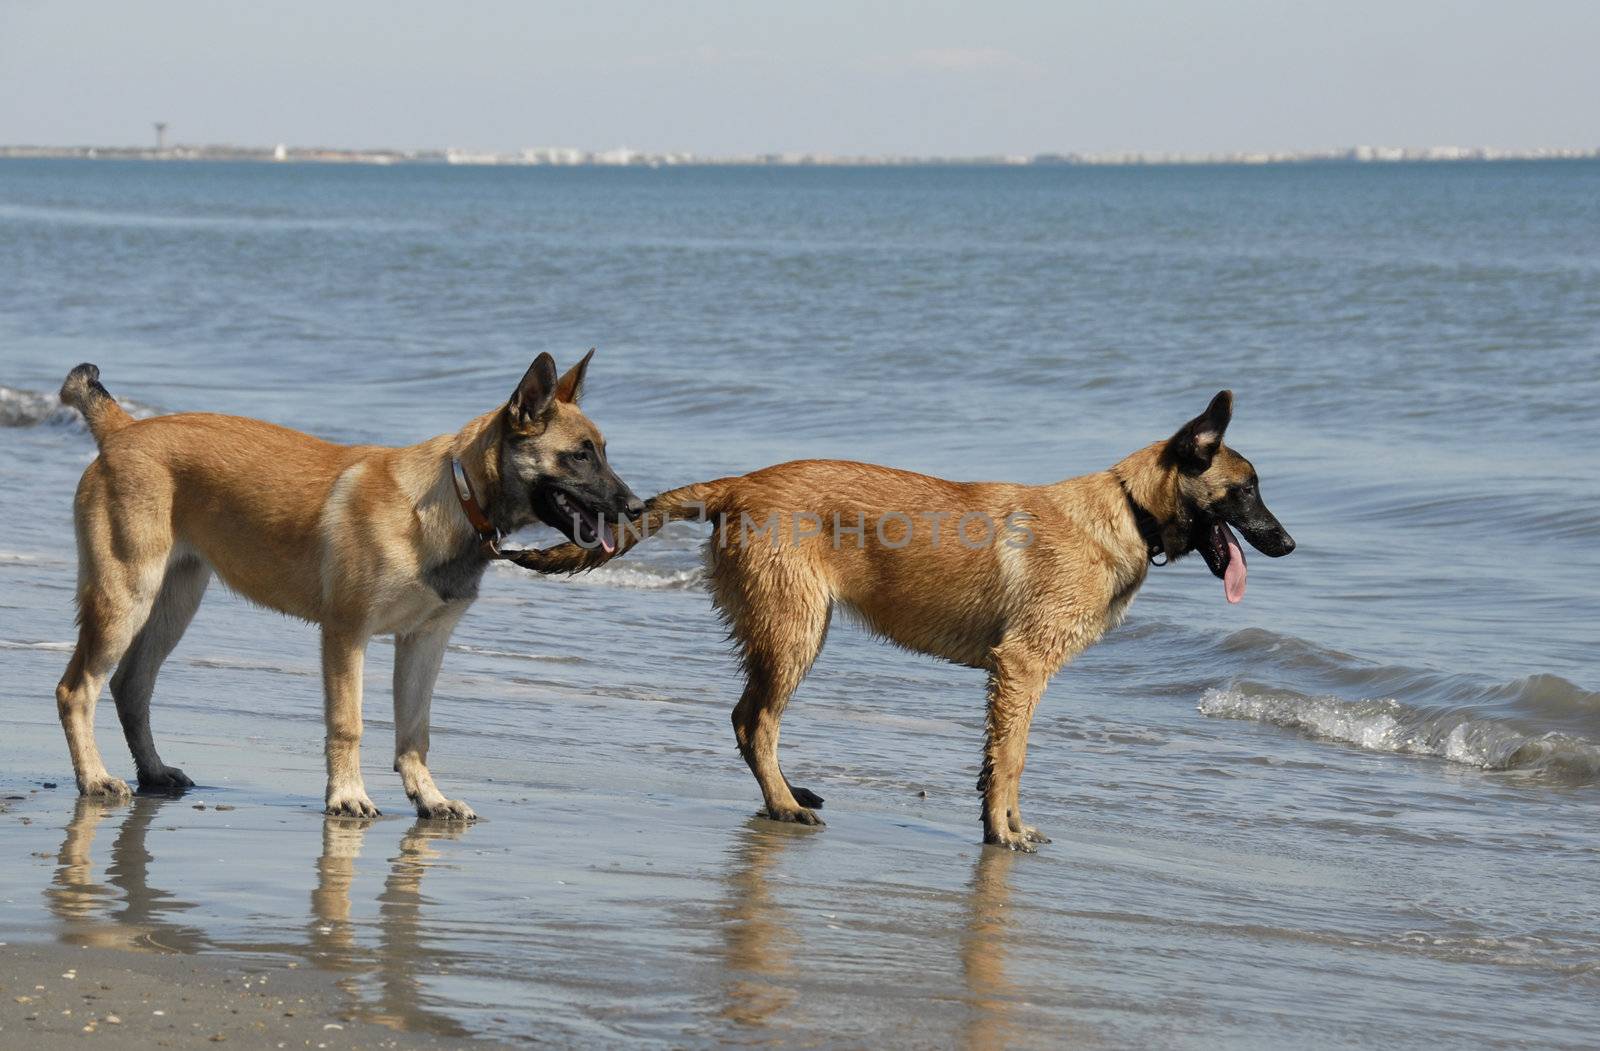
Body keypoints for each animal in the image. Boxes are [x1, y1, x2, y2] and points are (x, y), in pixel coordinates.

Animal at [56, 358, 643, 819]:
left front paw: (430, 798)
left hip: (172, 605)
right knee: (77, 689)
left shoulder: (423, 644)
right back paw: (94, 778)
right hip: (125, 599)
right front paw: (347, 795)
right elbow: (348, 723)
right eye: (580, 455)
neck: (455, 496)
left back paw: (152, 772)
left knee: (131, 686)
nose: (637, 508)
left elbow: (415, 733)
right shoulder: (346, 635)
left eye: (603, 451)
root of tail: (123, 430)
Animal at [518, 388, 1292, 851]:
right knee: (755, 721)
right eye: (1245, 491)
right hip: (795, 632)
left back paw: (787, 794)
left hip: (788, 630)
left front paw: (1001, 823)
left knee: (747, 719)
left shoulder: (1014, 679)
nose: (1288, 544)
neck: (1127, 508)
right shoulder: (1022, 667)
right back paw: (785, 805)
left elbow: (997, 761)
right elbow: (1013, 758)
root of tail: (742, 484)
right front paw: (1004, 833)